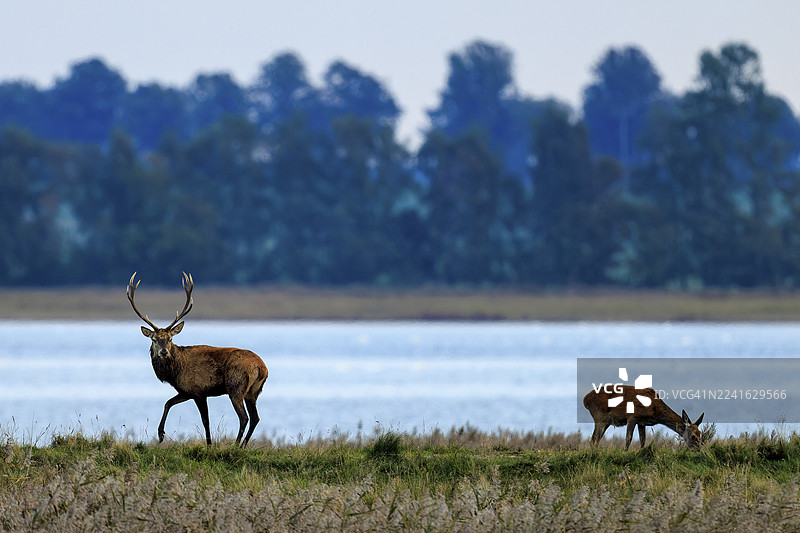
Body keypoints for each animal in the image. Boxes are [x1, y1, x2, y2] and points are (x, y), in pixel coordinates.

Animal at [127, 272, 268, 447]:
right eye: (154, 339)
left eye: (170, 338)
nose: (164, 352)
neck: (175, 372)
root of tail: (262, 368)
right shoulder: (185, 391)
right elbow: (167, 403)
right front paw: (160, 434)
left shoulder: (199, 390)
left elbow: (205, 420)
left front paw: (209, 445)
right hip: (253, 391)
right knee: (255, 418)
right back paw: (242, 446)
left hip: (236, 387)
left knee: (244, 417)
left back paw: (235, 445)